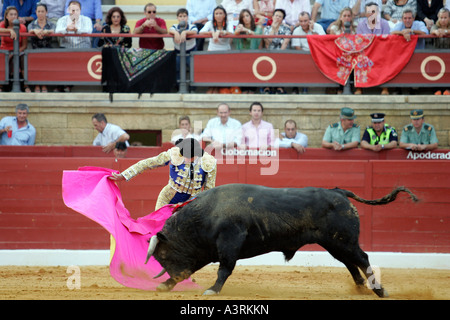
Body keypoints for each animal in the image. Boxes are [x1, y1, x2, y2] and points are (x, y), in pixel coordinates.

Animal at [146, 184, 416, 298]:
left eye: (164, 255)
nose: (176, 276)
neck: (207, 213)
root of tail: (339, 192)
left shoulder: (229, 243)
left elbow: (224, 269)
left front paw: (212, 290)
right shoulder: (206, 251)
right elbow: (203, 266)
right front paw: (166, 285)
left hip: (345, 241)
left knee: (362, 258)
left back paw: (379, 290)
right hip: (336, 244)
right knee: (351, 263)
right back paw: (361, 288)